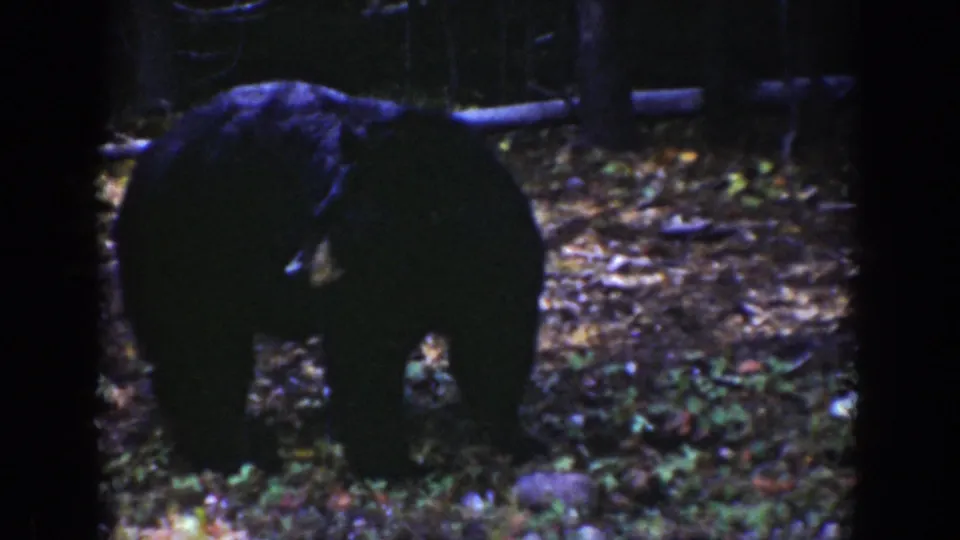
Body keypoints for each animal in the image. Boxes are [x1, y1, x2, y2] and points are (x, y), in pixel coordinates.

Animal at [113, 81, 547, 480]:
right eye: (322, 211)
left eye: (343, 221)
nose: (293, 269)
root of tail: (147, 159)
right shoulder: (367, 292)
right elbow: (364, 358)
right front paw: (394, 463)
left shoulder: (500, 263)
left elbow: (493, 344)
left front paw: (516, 437)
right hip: (190, 259)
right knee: (203, 354)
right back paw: (235, 450)